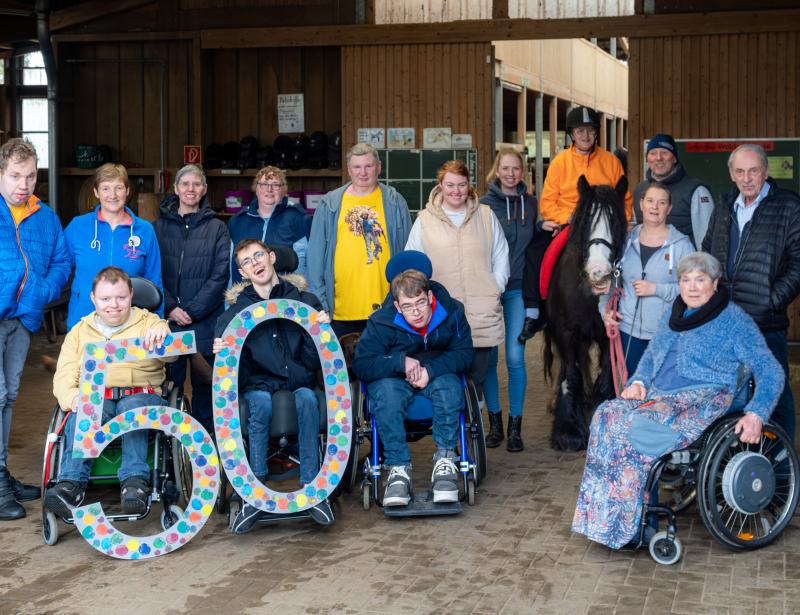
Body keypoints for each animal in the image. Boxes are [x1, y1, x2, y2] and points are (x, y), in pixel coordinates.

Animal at [544, 174, 632, 452]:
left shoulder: (607, 333)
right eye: (585, 221)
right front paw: (569, 430)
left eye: (616, 221)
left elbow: (605, 376)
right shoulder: (565, 332)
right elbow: (570, 376)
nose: (598, 271)